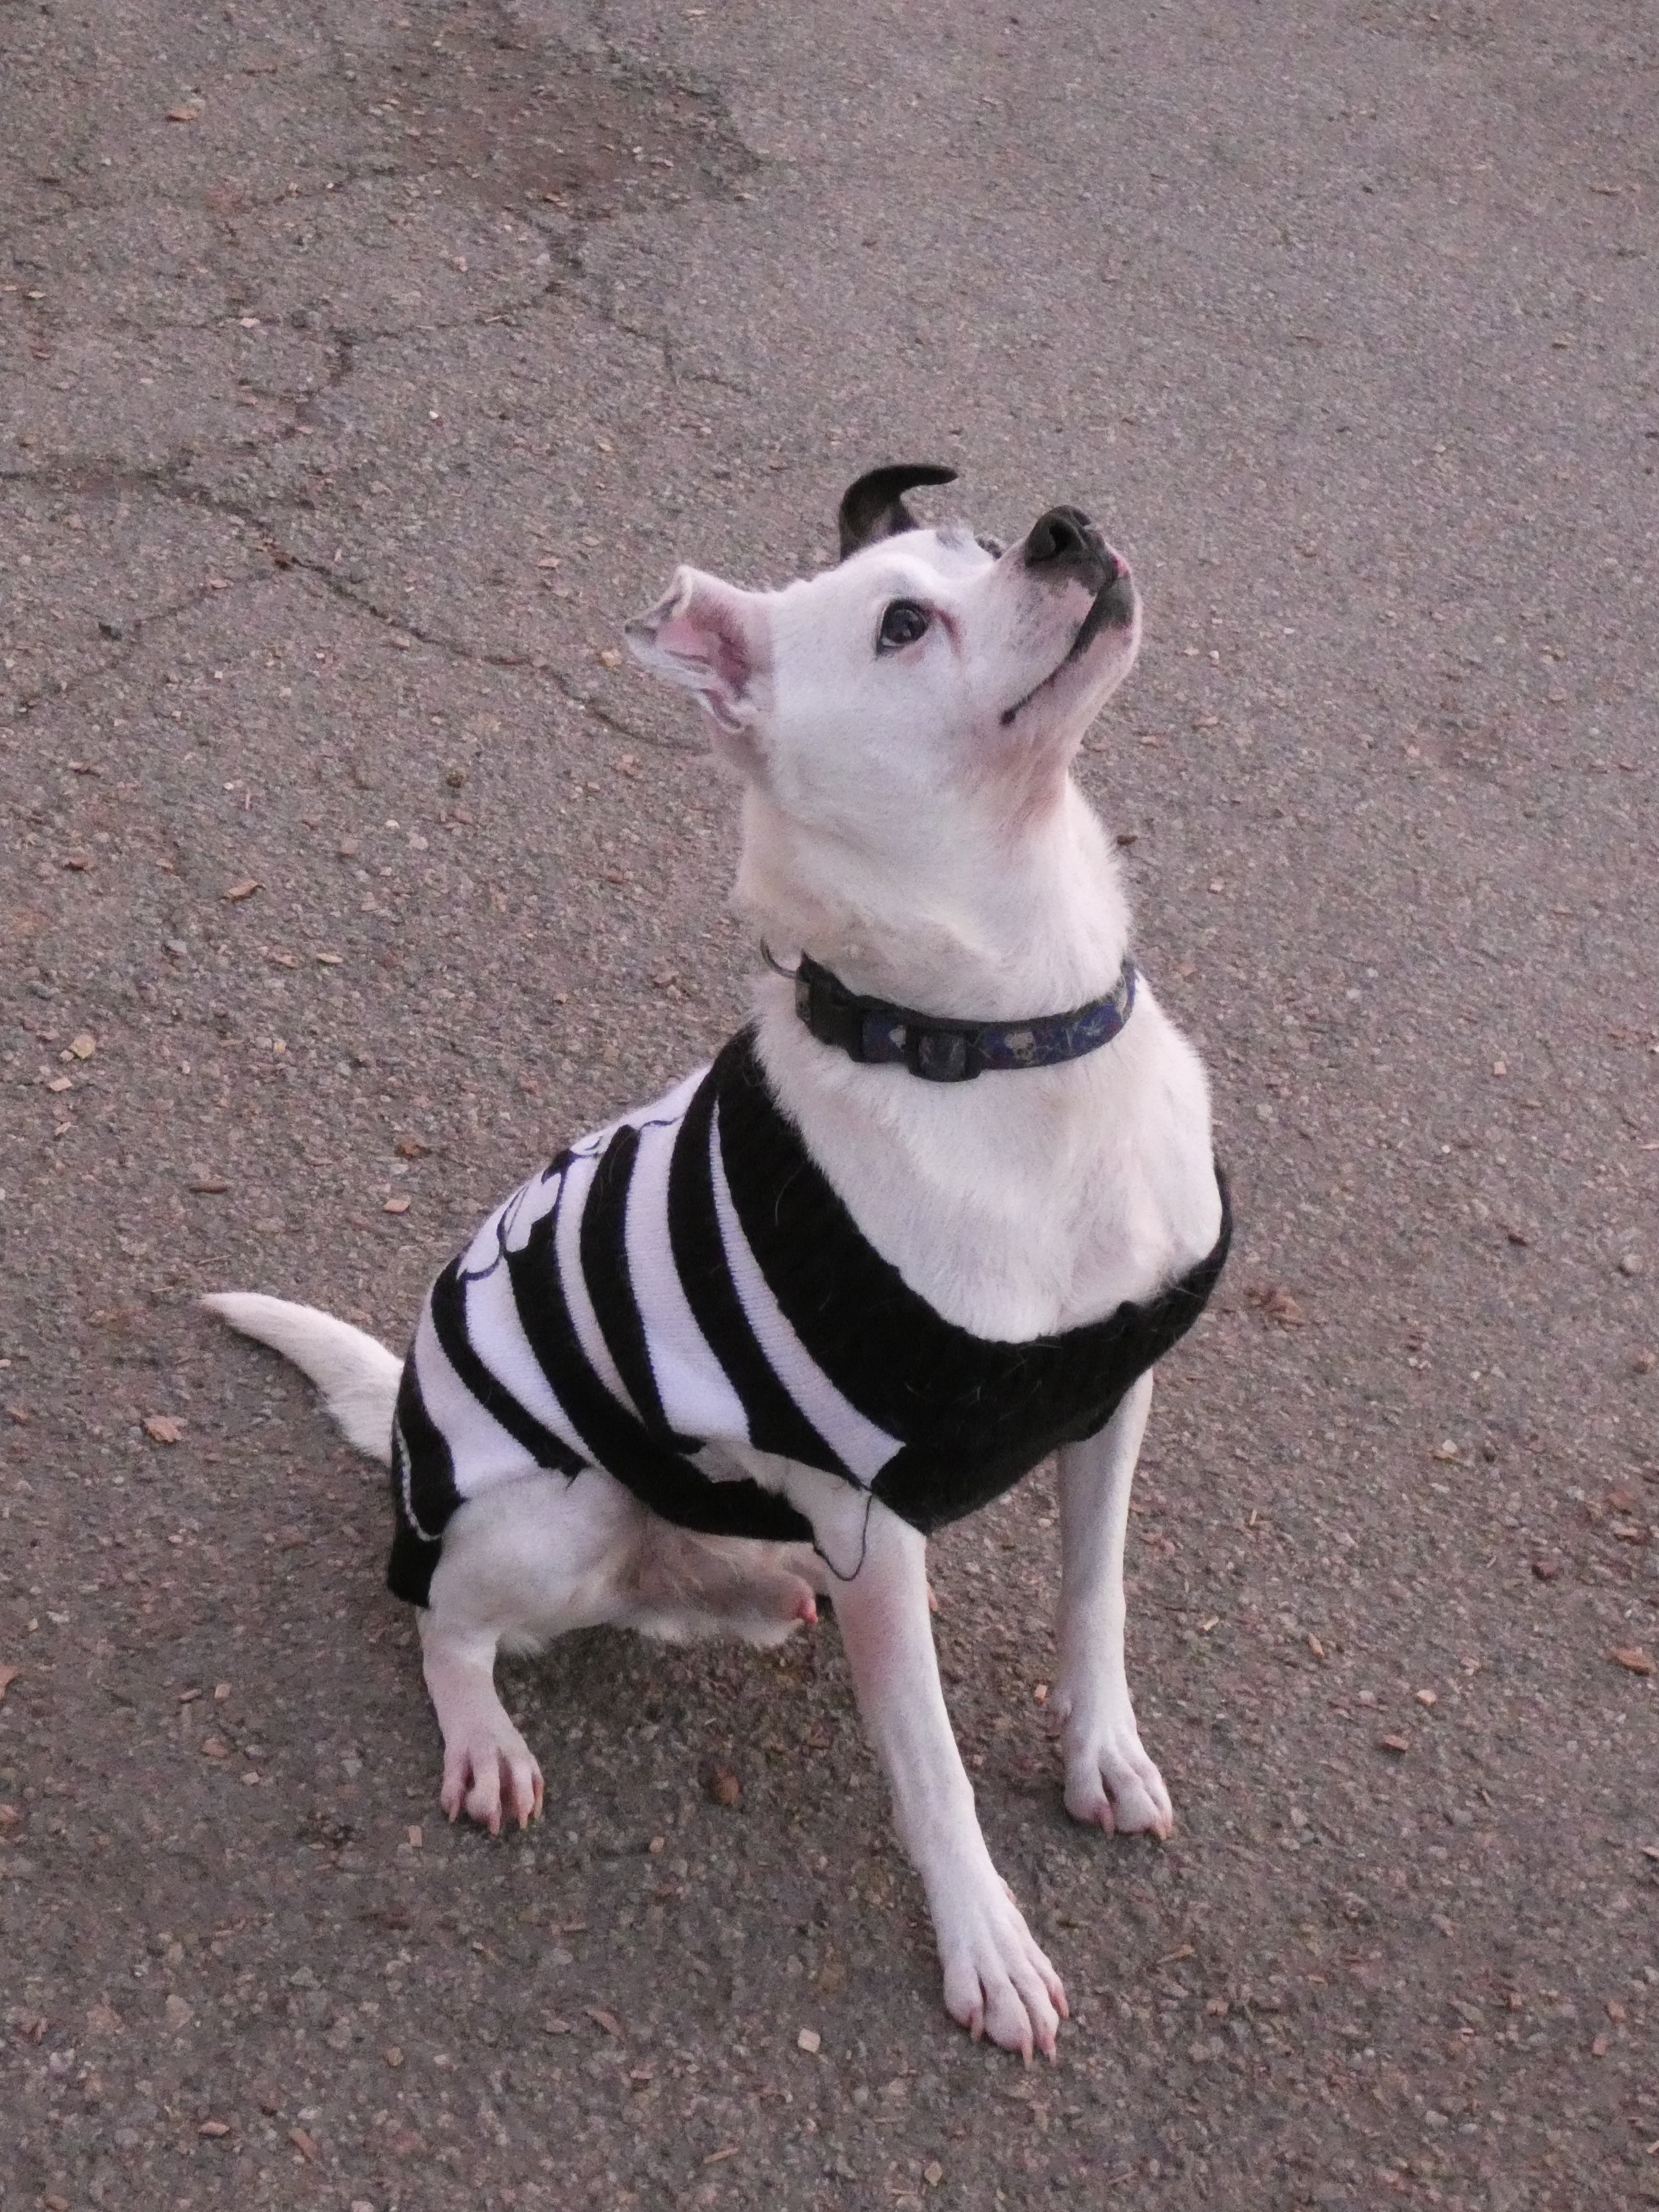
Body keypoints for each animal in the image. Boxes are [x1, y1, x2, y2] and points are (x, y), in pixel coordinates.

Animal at [208, 462, 1229, 2052]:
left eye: (982, 542)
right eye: (900, 624)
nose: (1066, 530)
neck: (1005, 1036)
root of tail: (409, 1424)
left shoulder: (1109, 1399)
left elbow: (1094, 1596)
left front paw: (1100, 1753)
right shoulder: (877, 1516)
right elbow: (928, 1762)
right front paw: (985, 1943)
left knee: (662, 1589)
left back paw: (739, 1590)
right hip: (546, 1514)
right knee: (445, 1621)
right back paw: (484, 1732)